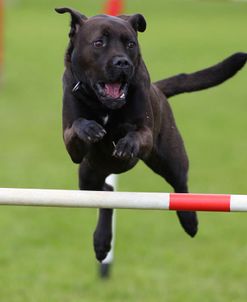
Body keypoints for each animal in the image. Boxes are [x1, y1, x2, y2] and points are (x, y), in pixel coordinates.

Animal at [56, 7, 247, 262]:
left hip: (169, 158)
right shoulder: (71, 145)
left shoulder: (145, 132)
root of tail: (159, 89)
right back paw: (102, 242)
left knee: (180, 184)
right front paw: (92, 128)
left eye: (130, 44)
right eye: (98, 43)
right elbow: (77, 125)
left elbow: (137, 134)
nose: (123, 62)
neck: (104, 105)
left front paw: (126, 143)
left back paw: (190, 221)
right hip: (87, 178)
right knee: (107, 193)